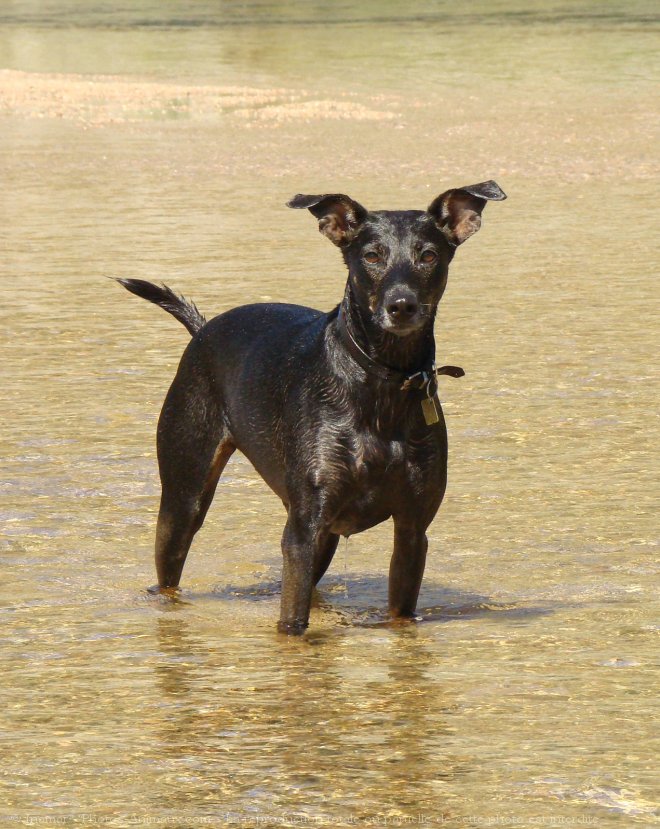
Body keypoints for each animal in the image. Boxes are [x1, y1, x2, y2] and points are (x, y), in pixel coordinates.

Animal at [117, 183, 506, 632]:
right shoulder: (304, 529)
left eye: (428, 256)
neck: (382, 382)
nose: (401, 306)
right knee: (168, 572)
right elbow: (292, 624)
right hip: (184, 493)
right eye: (371, 256)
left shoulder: (411, 529)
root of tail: (203, 329)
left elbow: (400, 616)